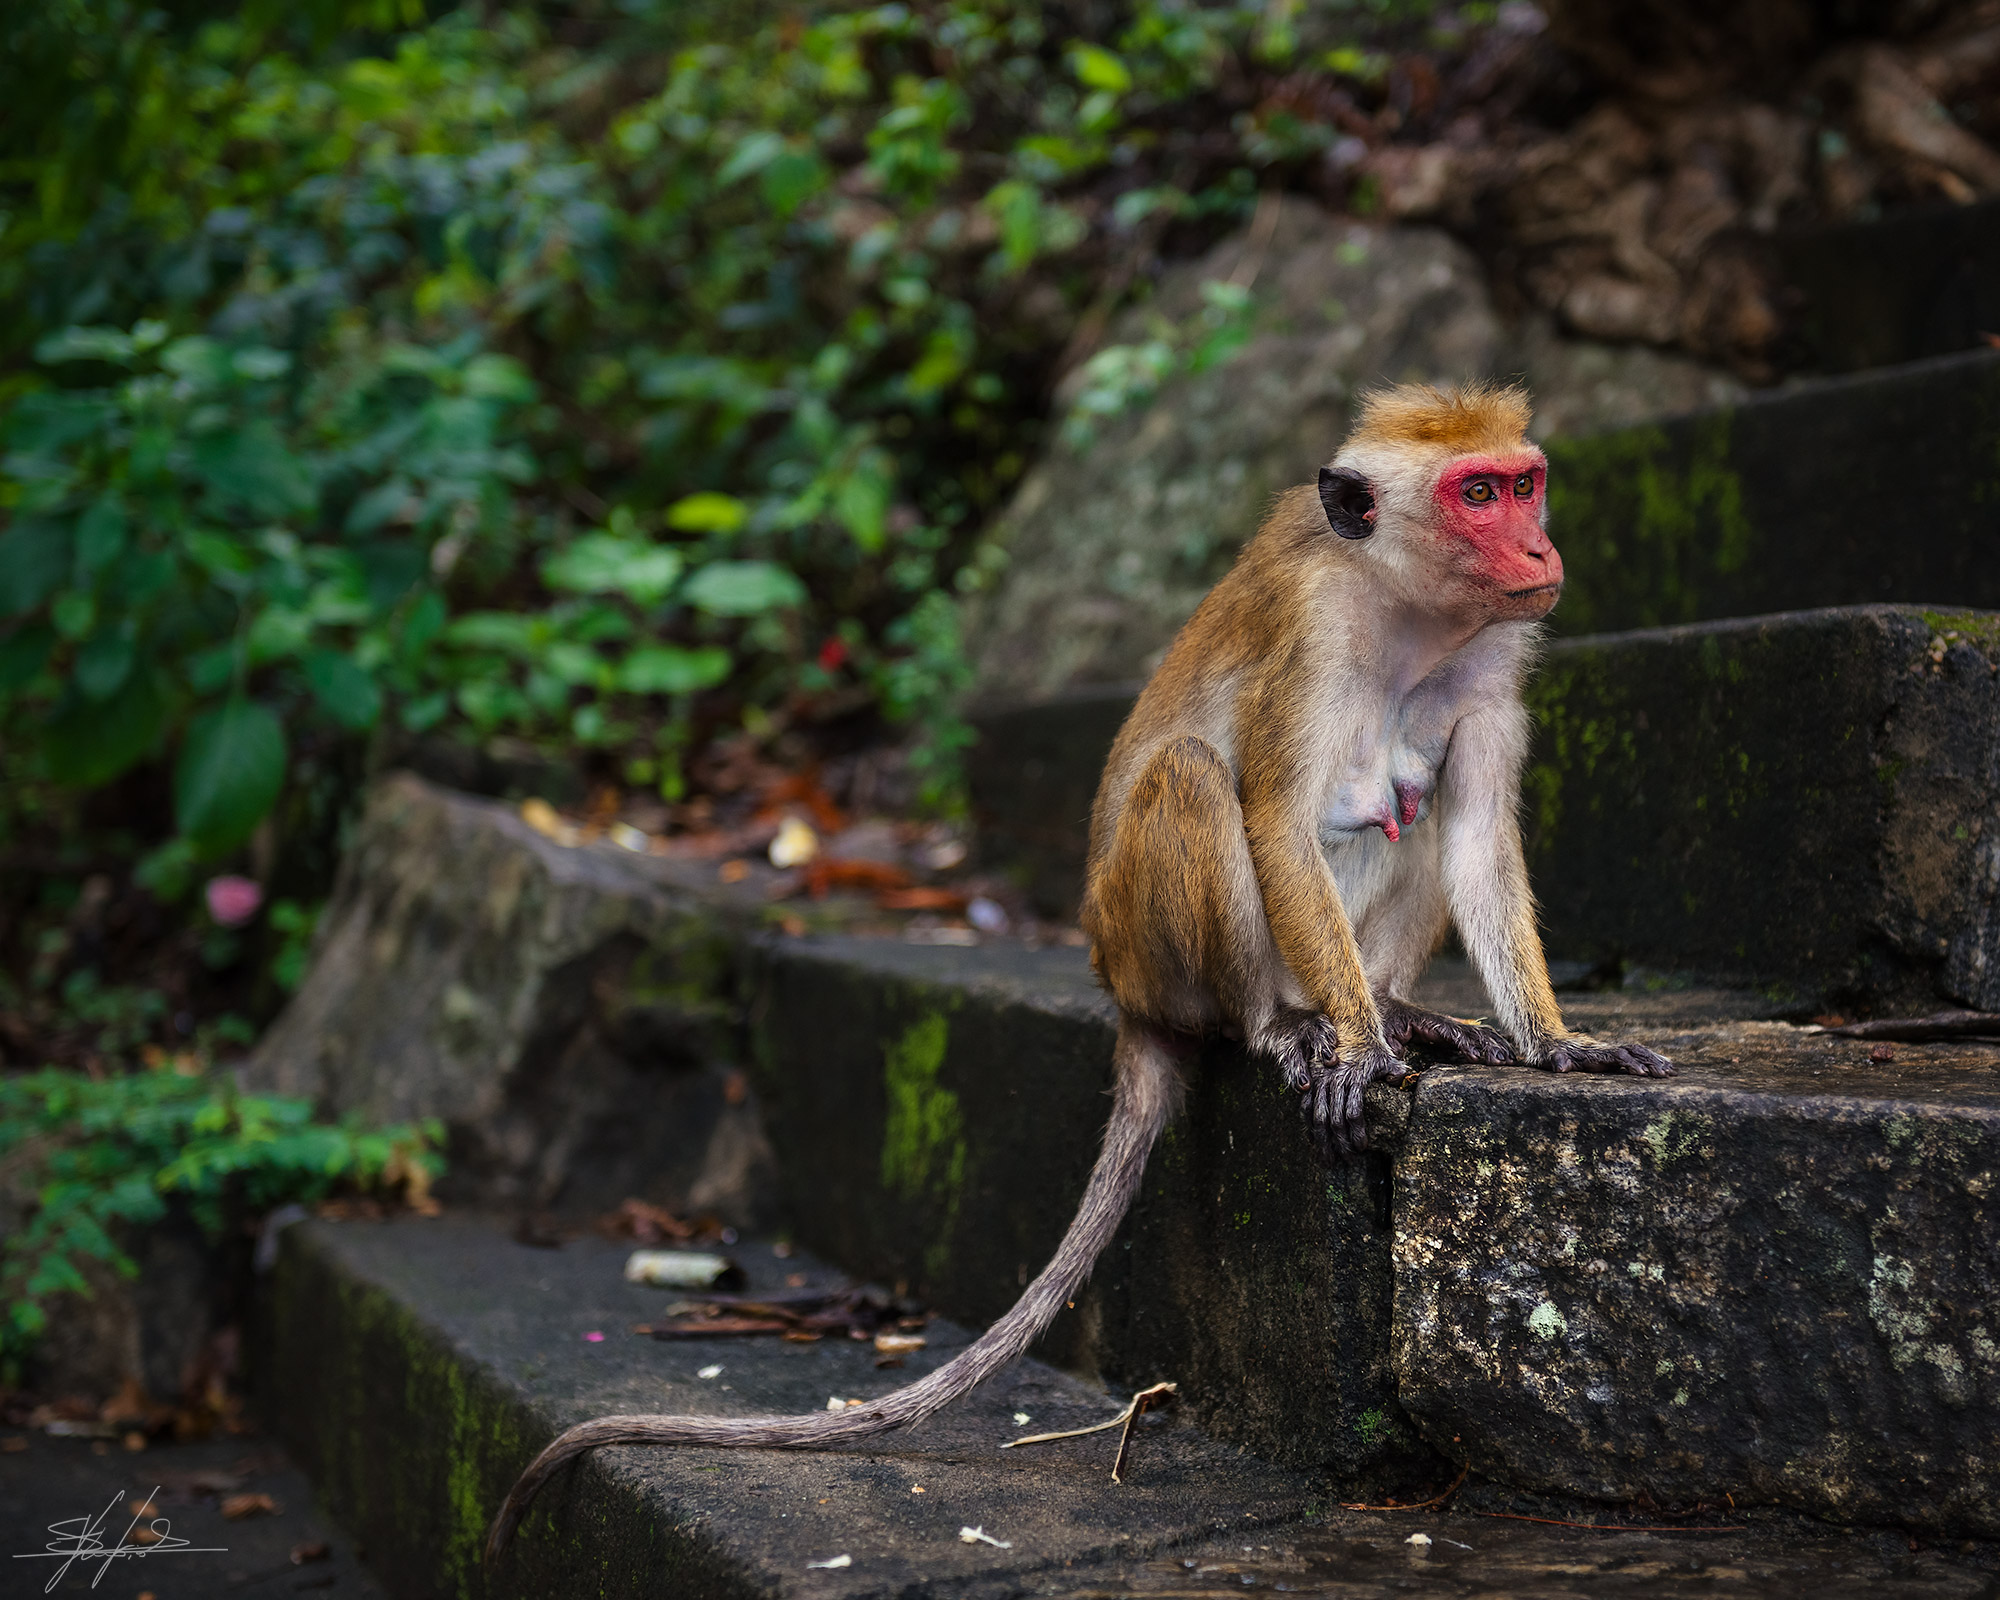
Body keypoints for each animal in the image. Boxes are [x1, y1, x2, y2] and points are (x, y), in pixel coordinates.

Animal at [485, 381, 1671, 1560]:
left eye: (1523, 482)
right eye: (1476, 495)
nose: (1538, 546)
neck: (1408, 610)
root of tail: (1118, 995)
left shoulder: (1495, 654)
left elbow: (1474, 837)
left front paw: (1554, 1045)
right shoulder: (1315, 631)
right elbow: (1277, 821)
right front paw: (1359, 1053)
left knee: (1414, 807)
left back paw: (1393, 1007)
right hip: (1147, 956)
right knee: (1194, 779)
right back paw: (1289, 1025)